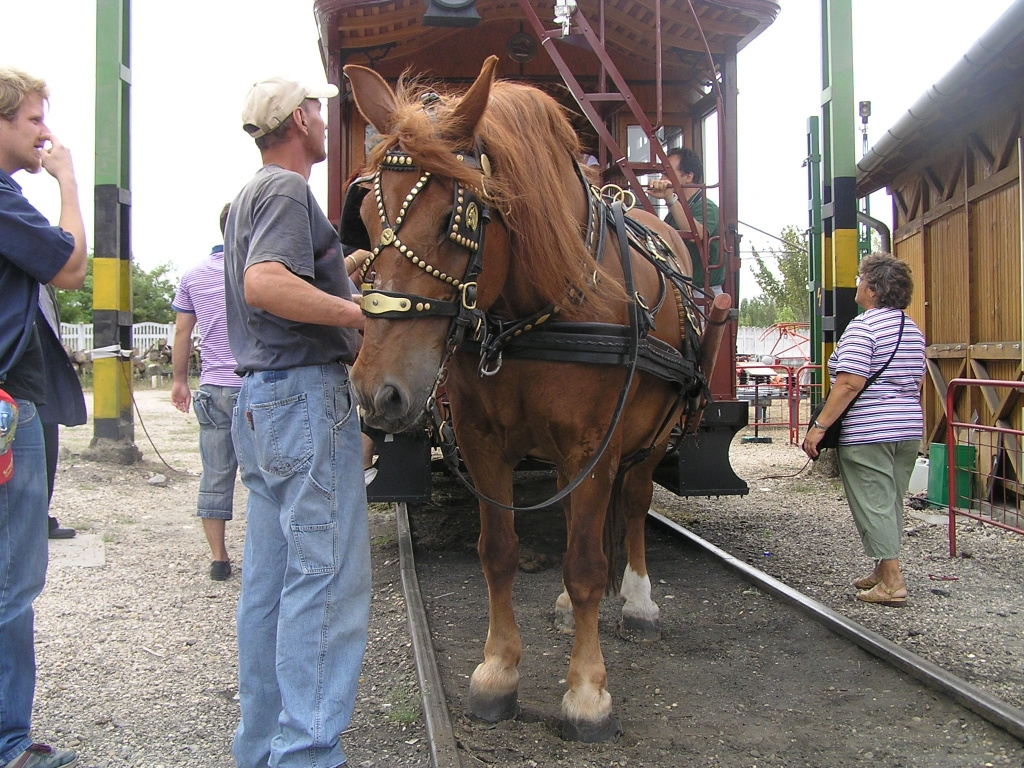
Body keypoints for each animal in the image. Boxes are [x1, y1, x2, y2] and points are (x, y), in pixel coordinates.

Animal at [348, 57, 733, 741]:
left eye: (458, 217)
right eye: (366, 210)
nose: (378, 391)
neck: (533, 312)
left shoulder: (593, 445)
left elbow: (585, 566)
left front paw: (588, 692)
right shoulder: (481, 442)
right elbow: (499, 553)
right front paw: (498, 673)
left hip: (651, 432)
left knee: (632, 503)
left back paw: (637, 600)